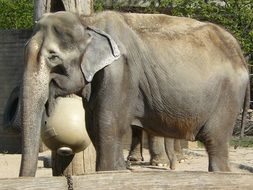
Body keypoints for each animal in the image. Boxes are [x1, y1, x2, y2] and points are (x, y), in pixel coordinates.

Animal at [18, 10, 248, 177]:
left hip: (228, 96)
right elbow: (92, 126)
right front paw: (121, 170)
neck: (88, 21)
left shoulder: (120, 71)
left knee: (215, 141)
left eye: (53, 57)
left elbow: (108, 124)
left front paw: (110, 172)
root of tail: (240, 53)